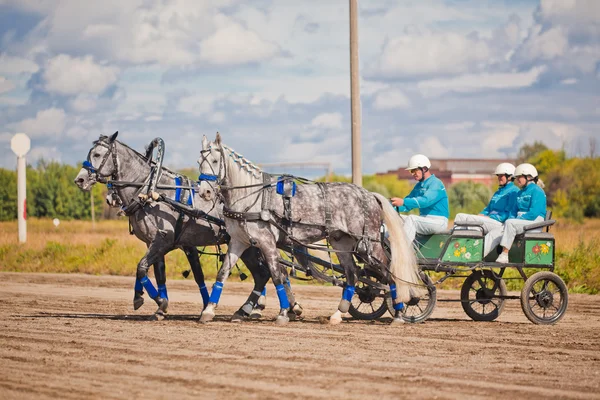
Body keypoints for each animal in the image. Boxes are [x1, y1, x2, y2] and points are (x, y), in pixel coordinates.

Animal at [75, 133, 300, 320]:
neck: (152, 191)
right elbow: (159, 273)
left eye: (97, 154)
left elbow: (142, 267)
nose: (80, 179)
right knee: (268, 273)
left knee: (271, 272)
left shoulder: (163, 241)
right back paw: (274, 308)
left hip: (254, 244)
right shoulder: (162, 244)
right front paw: (157, 305)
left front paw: (154, 301)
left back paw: (274, 308)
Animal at [196, 134, 422, 324]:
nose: (204, 192)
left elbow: (277, 276)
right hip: (343, 244)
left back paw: (399, 313)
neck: (252, 197)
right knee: (352, 275)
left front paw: (283, 313)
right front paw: (208, 311)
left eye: (215, 161)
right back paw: (338, 314)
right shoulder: (238, 241)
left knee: (388, 272)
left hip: (367, 246)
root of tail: (369, 195)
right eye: (199, 162)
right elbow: (223, 273)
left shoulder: (267, 242)